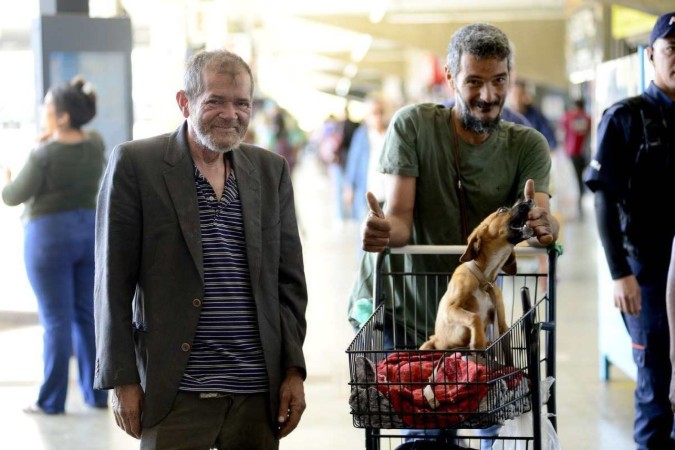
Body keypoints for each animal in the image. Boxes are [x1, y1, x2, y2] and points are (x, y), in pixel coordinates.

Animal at [420, 195, 536, 364]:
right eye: (502, 209)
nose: (529, 200)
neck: (484, 279)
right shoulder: (450, 309)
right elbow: (474, 317)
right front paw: (477, 342)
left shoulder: (502, 325)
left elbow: (508, 355)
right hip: (427, 345)